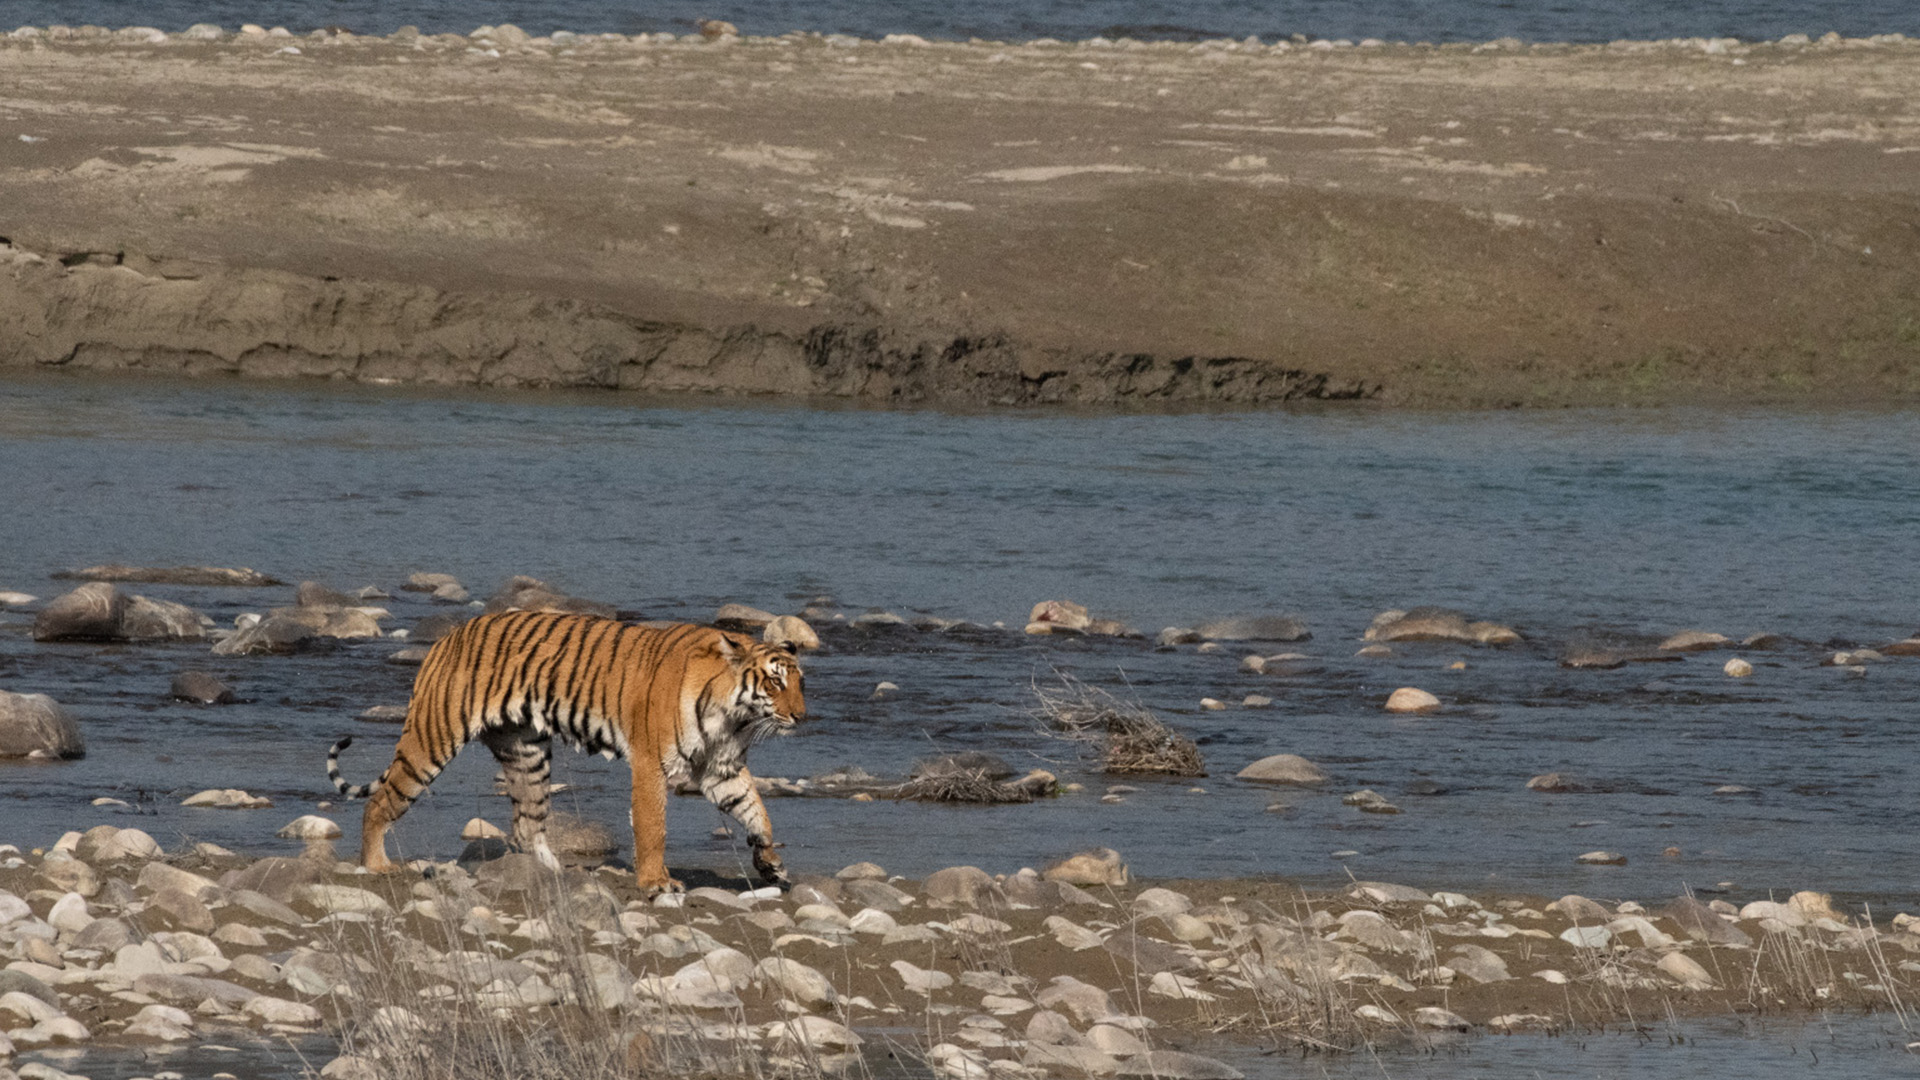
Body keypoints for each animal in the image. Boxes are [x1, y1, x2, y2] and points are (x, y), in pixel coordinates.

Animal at [326, 607, 806, 891]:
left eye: (800, 682)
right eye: (775, 682)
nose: (802, 716)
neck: (734, 715)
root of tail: (448, 638)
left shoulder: (721, 768)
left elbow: (758, 812)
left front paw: (770, 864)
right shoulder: (651, 764)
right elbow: (653, 828)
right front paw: (657, 883)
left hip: (528, 753)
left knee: (525, 827)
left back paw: (554, 874)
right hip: (432, 740)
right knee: (380, 803)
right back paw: (378, 866)